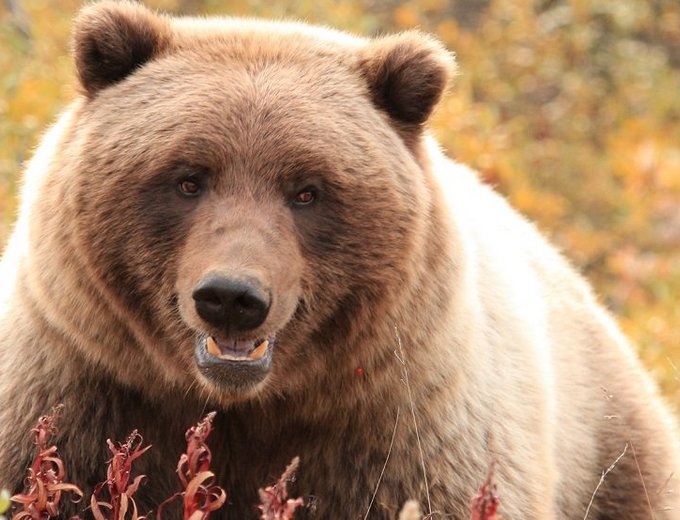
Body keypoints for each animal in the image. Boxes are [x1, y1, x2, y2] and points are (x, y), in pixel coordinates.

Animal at [1, 2, 680, 516]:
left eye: (308, 190)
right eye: (187, 178)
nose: (232, 297)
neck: (247, 406)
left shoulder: (404, 437)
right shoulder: (75, 394)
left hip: (615, 452)